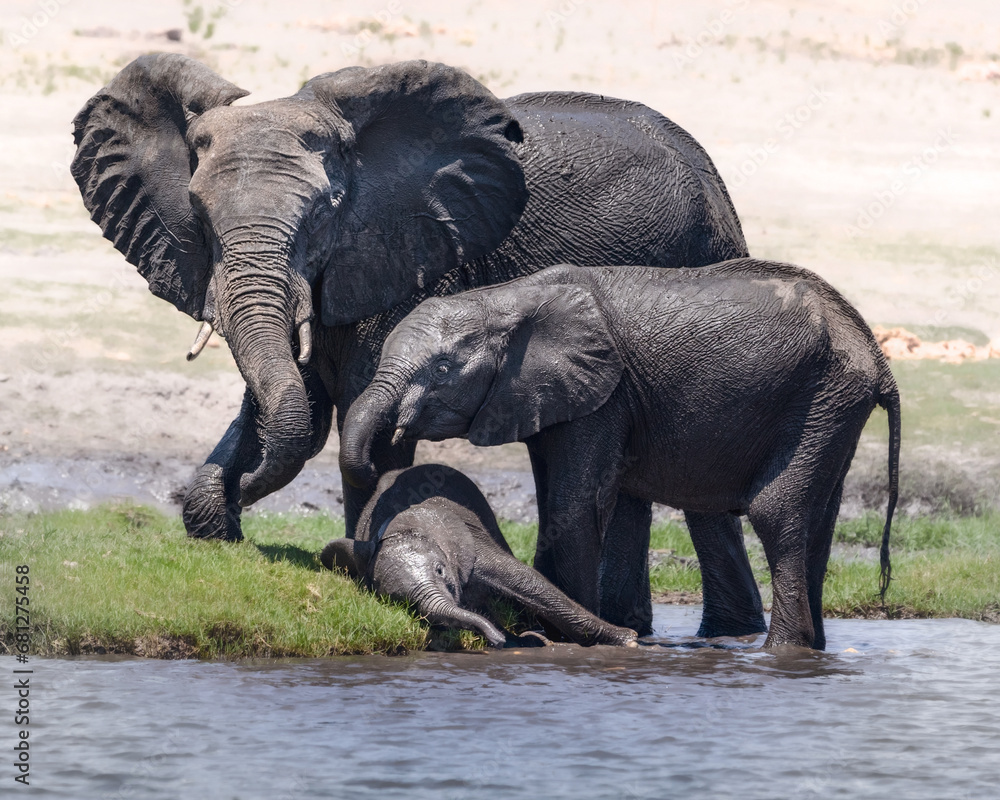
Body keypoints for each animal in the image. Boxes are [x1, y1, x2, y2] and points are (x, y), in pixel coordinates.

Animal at [321, 463, 638, 648]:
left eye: (440, 570)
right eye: (394, 598)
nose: (497, 639)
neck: (403, 525)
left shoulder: (469, 544)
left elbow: (528, 581)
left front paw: (629, 641)